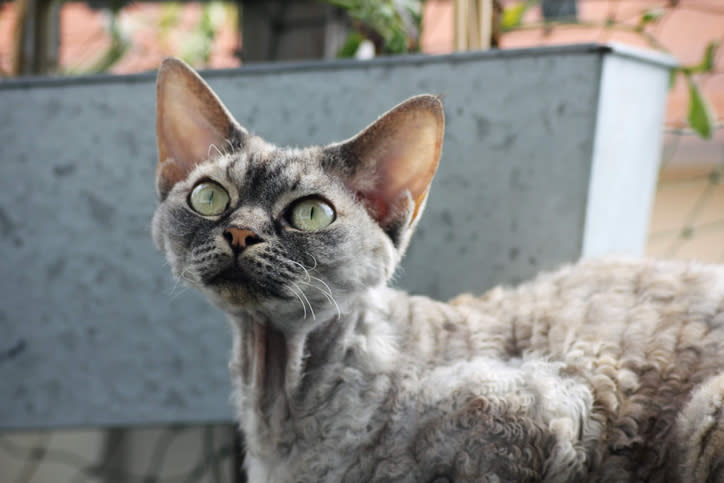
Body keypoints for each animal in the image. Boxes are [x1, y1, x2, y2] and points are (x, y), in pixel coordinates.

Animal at [151, 57, 724, 483]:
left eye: (311, 213)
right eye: (209, 197)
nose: (240, 233)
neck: (279, 407)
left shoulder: (539, 413)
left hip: (705, 413)